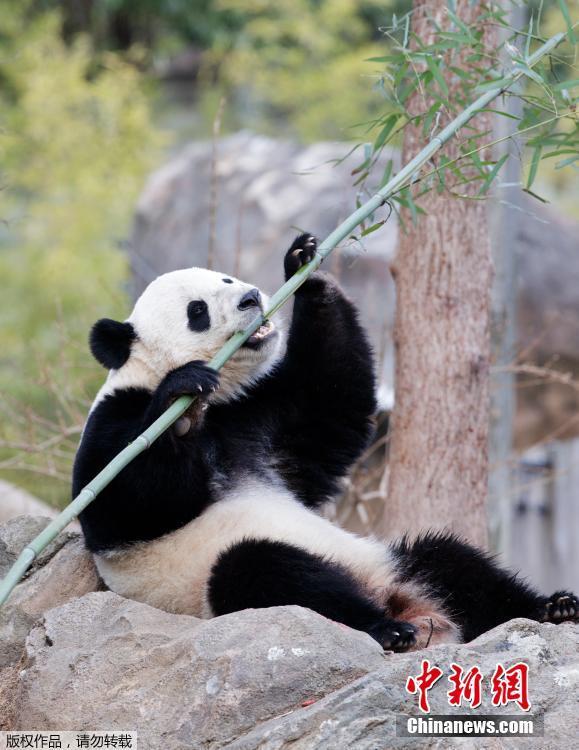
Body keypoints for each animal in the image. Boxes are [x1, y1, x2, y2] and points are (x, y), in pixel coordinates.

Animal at [74, 232, 579, 652]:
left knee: (450, 561)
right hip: (210, 587)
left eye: (226, 277)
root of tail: (404, 603)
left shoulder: (257, 422)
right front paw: (181, 403)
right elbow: (122, 499)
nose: (250, 298)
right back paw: (386, 628)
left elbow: (329, 403)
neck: (219, 406)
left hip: (387, 560)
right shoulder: (115, 420)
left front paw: (305, 268)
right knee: (266, 570)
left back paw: (550, 607)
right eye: (197, 310)